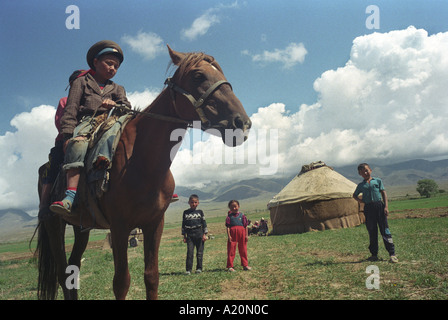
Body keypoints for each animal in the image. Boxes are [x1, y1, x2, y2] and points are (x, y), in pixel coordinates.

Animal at [35, 45, 252, 300]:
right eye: (198, 75)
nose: (242, 123)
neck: (143, 161)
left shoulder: (154, 224)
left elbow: (151, 276)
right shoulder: (119, 227)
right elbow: (121, 281)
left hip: (81, 228)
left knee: (73, 269)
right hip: (54, 225)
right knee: (62, 274)